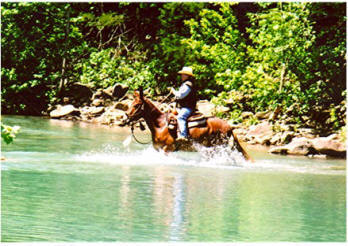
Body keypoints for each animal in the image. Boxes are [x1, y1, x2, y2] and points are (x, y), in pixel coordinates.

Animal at [122, 88, 253, 161]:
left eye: (136, 105)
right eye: (131, 103)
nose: (125, 118)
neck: (160, 124)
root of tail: (229, 126)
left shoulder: (168, 149)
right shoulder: (158, 149)